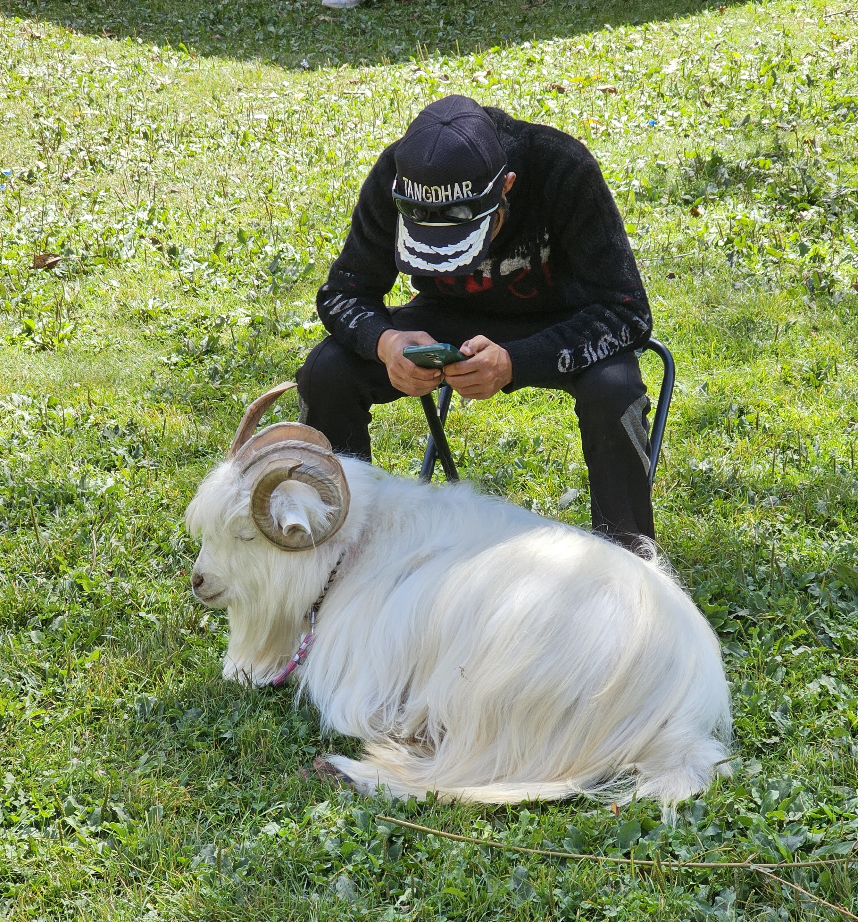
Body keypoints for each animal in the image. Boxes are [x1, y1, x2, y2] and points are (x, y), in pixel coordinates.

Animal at [185, 382, 731, 806]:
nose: (199, 582)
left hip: (489, 694)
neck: (352, 552)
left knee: (453, 777)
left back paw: (357, 768)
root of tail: (682, 716)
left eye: (246, 534)